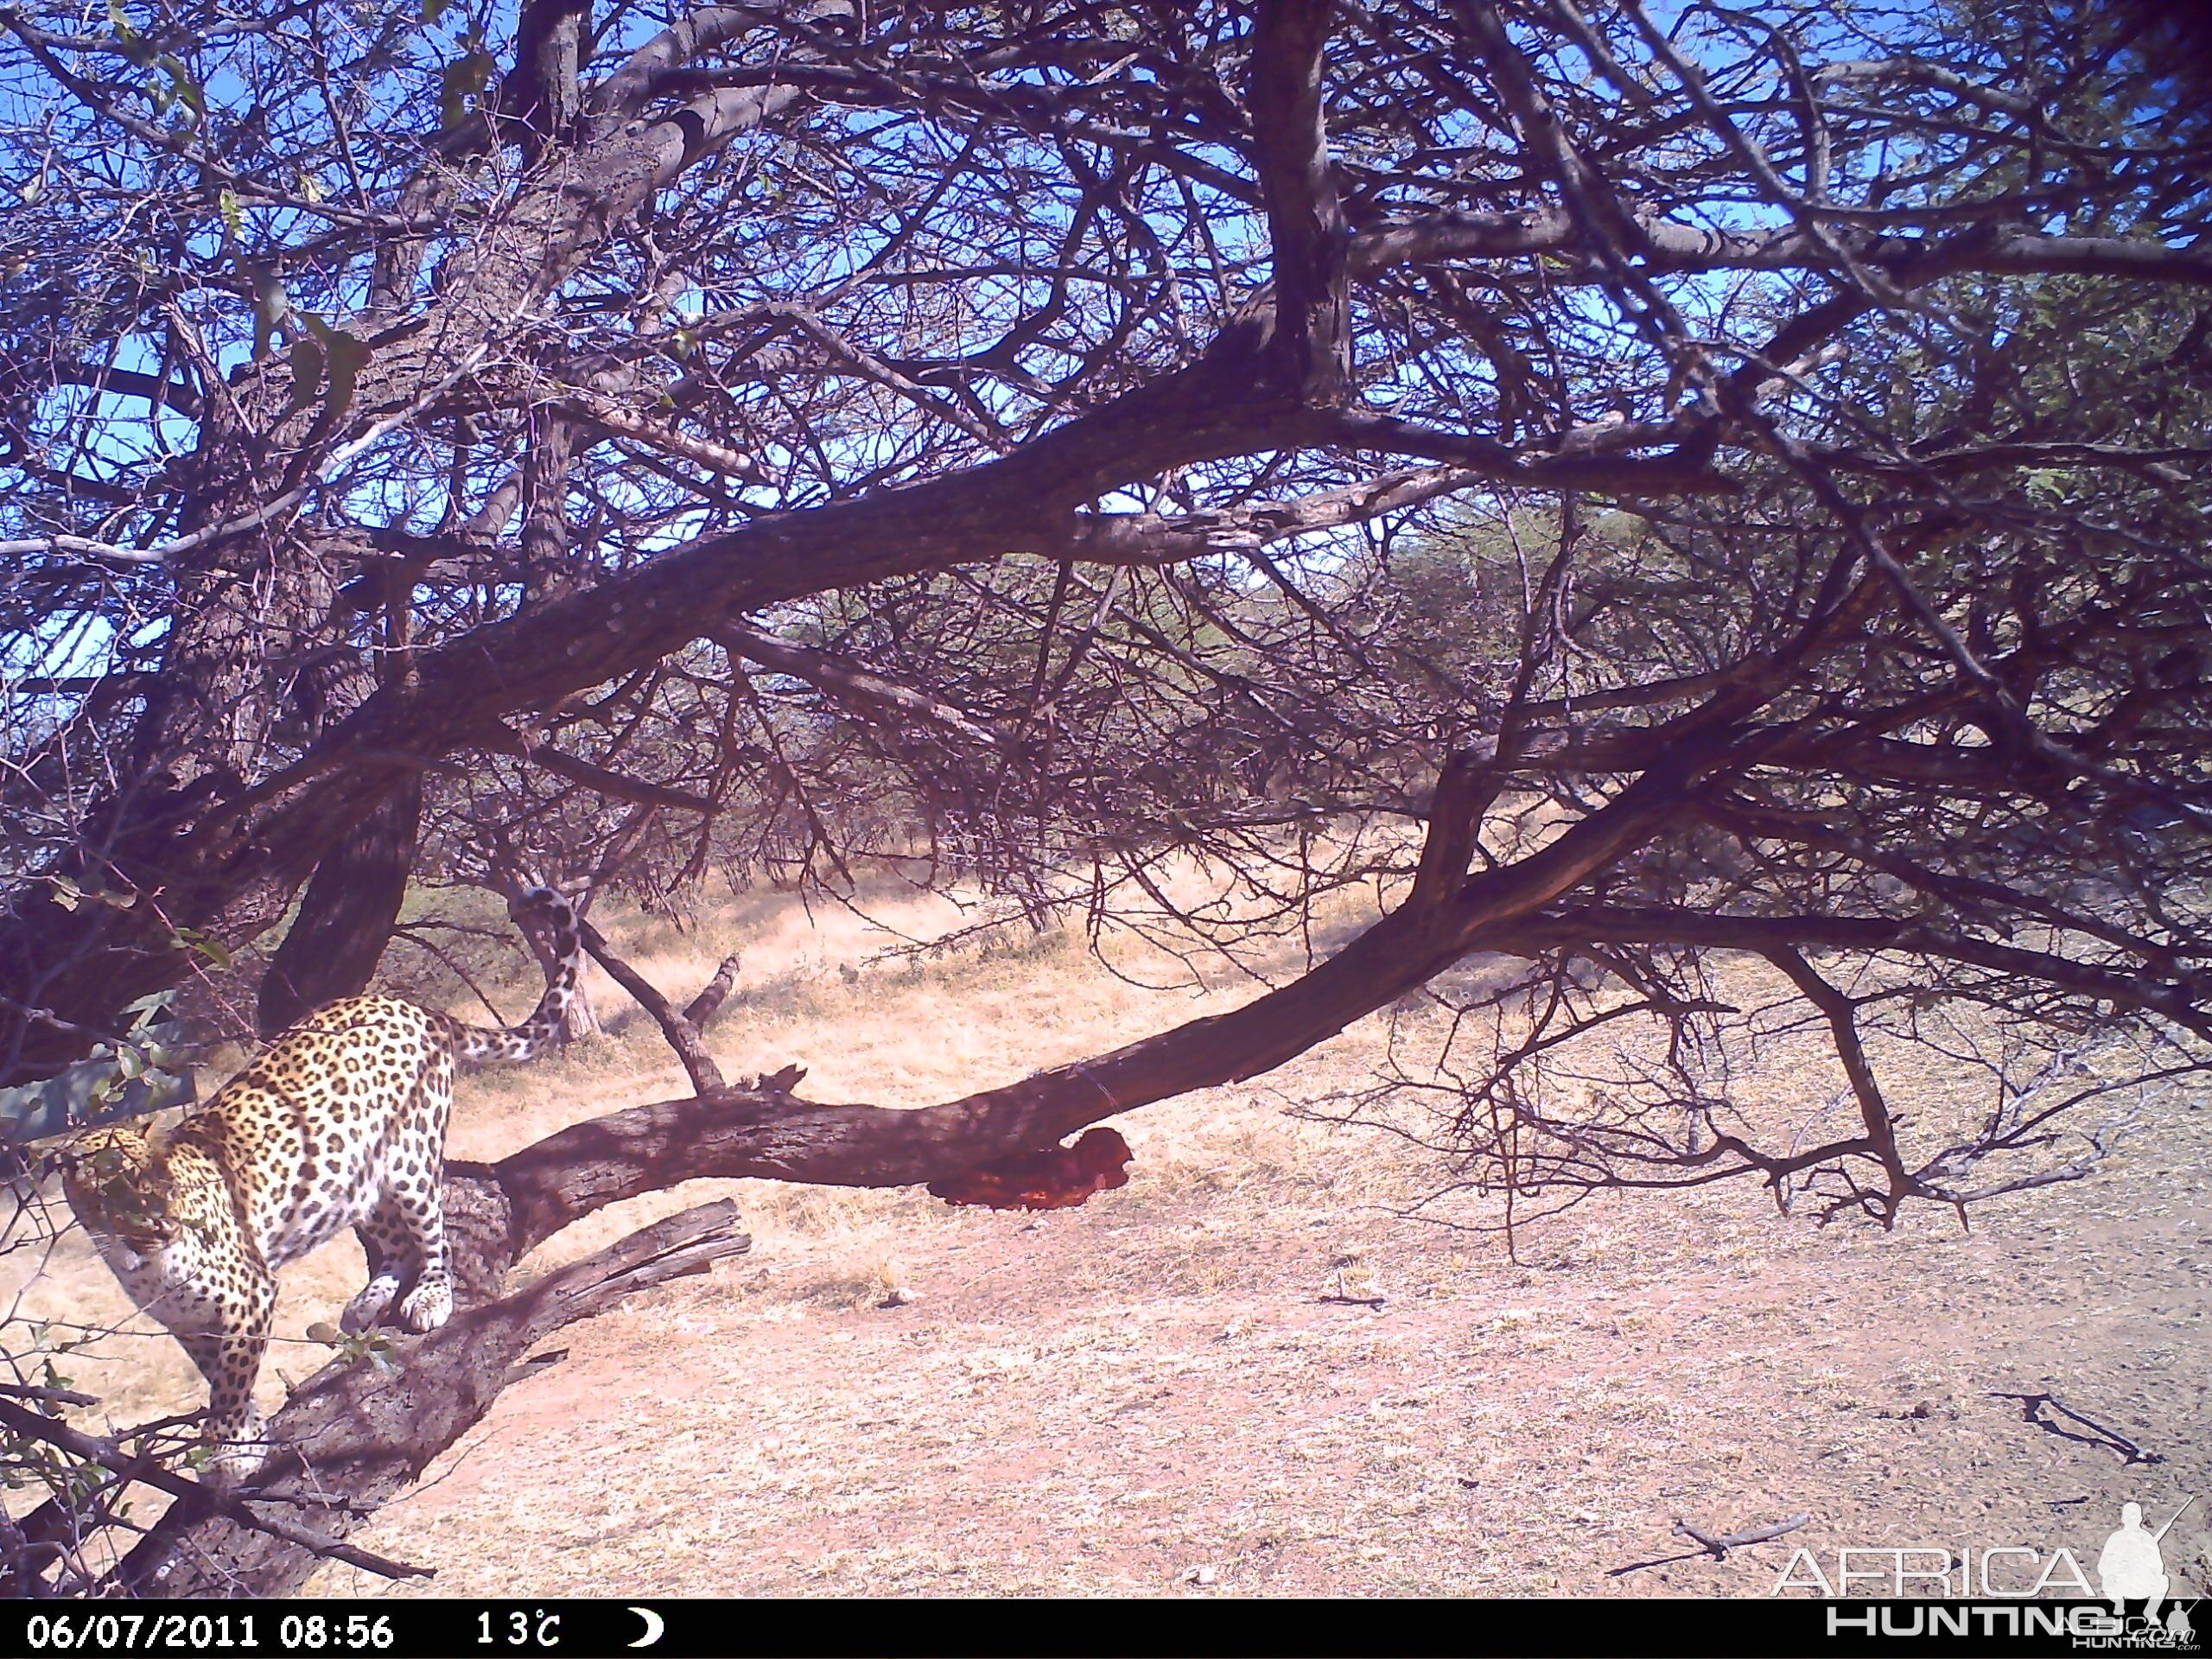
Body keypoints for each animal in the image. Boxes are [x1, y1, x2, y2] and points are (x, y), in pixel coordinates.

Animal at [66, 898, 588, 1495]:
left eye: (164, 1186)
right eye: (118, 1197)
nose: (164, 1227)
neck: (141, 1263)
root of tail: (412, 1006)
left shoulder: (249, 1294)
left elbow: (232, 1376)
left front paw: (230, 1447)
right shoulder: (187, 1322)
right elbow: (216, 1372)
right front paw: (244, 1430)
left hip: (410, 1157)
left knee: (432, 1238)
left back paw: (430, 1298)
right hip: (356, 1180)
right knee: (395, 1245)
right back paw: (367, 1304)